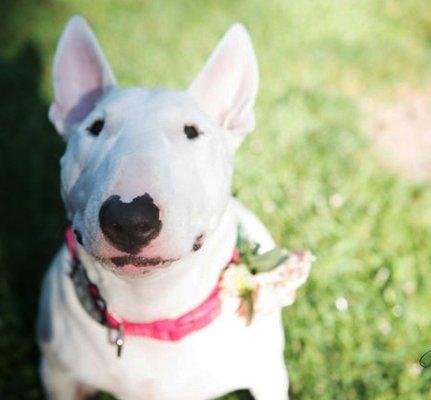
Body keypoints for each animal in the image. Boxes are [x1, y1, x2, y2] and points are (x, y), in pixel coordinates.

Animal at [37, 15, 296, 400]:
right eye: (95, 127)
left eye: (192, 131)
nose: (129, 219)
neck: (149, 306)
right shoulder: (58, 375)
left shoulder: (268, 376)